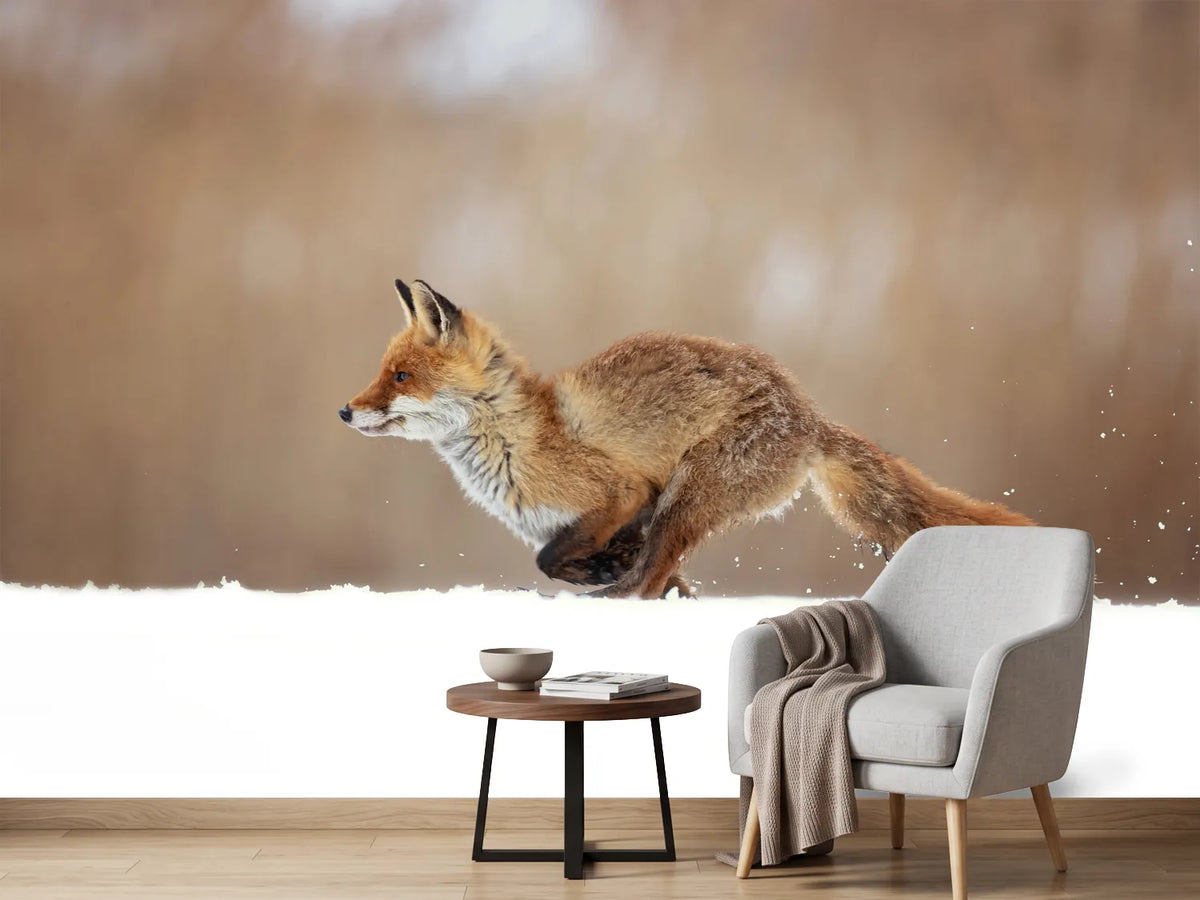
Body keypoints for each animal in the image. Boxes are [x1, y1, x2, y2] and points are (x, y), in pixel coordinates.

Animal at [339, 279, 1034, 598]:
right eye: (383, 370)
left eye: (400, 377)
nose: (345, 412)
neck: (515, 438)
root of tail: (807, 413)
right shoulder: (618, 515)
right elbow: (578, 555)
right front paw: (601, 567)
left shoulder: (622, 491)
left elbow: (553, 557)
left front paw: (595, 574)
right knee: (658, 571)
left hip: (688, 493)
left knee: (648, 580)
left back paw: (616, 597)